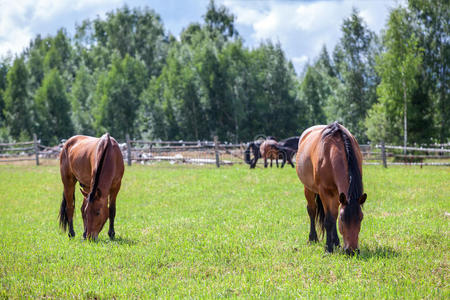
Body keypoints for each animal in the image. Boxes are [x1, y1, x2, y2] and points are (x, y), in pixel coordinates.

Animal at [298, 122, 368, 253]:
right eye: (343, 219)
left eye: (361, 218)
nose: (352, 251)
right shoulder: (324, 192)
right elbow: (329, 220)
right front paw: (328, 248)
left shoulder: (338, 194)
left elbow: (333, 217)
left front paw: (334, 243)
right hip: (308, 188)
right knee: (312, 210)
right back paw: (313, 238)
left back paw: (336, 242)